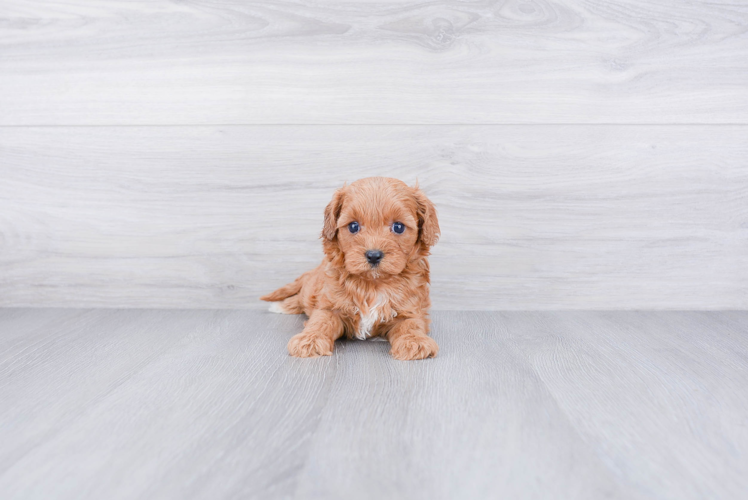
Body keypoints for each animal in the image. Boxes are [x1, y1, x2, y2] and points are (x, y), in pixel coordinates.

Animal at [262, 178, 442, 362]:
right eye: (354, 226)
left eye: (398, 227)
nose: (373, 255)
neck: (373, 284)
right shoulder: (329, 305)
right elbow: (320, 321)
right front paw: (310, 339)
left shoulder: (410, 310)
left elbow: (411, 324)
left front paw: (414, 341)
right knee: (300, 298)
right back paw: (281, 306)